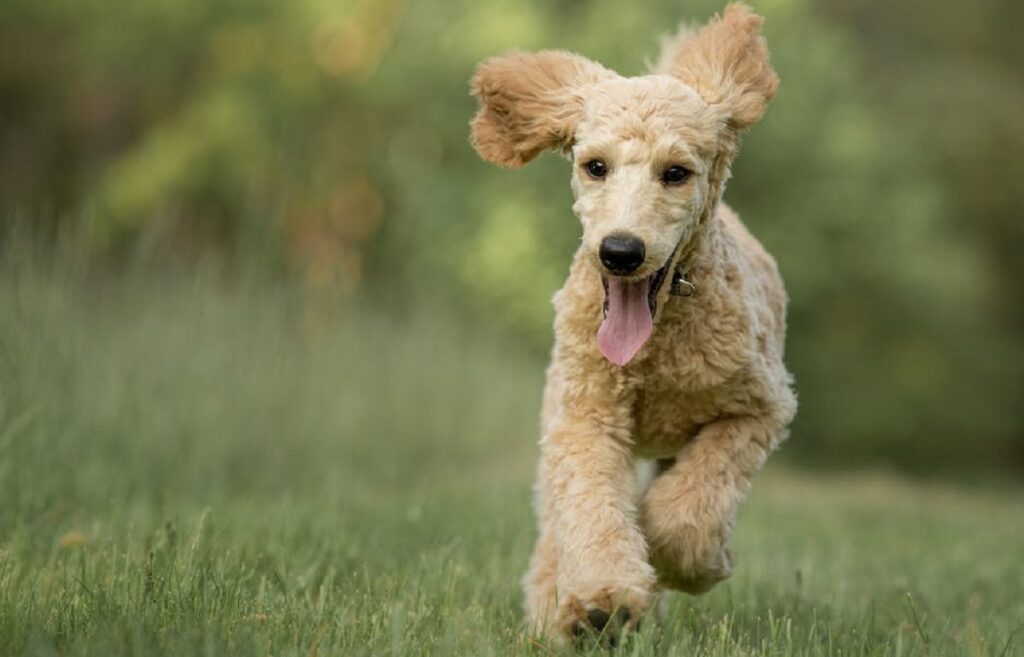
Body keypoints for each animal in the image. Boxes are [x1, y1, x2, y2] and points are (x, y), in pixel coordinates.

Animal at [468, 2, 794, 642]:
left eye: (676, 173)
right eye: (595, 166)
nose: (620, 251)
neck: (659, 343)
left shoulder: (758, 410)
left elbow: (688, 509)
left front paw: (685, 559)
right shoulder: (585, 416)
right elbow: (591, 505)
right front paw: (604, 599)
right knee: (557, 524)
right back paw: (558, 612)